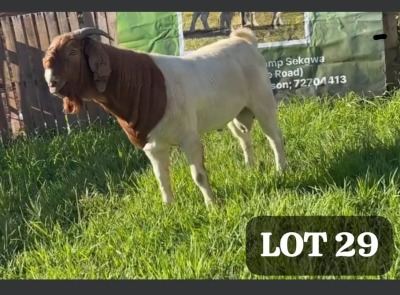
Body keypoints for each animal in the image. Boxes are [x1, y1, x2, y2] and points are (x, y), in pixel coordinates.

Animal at [43, 27, 288, 208]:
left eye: (73, 52)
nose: (51, 82)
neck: (141, 83)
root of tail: (244, 40)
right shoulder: (153, 146)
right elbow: (161, 178)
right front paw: (169, 207)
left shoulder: (189, 137)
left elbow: (198, 174)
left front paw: (212, 206)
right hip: (234, 114)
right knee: (243, 137)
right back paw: (250, 167)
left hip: (263, 103)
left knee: (274, 137)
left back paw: (281, 170)